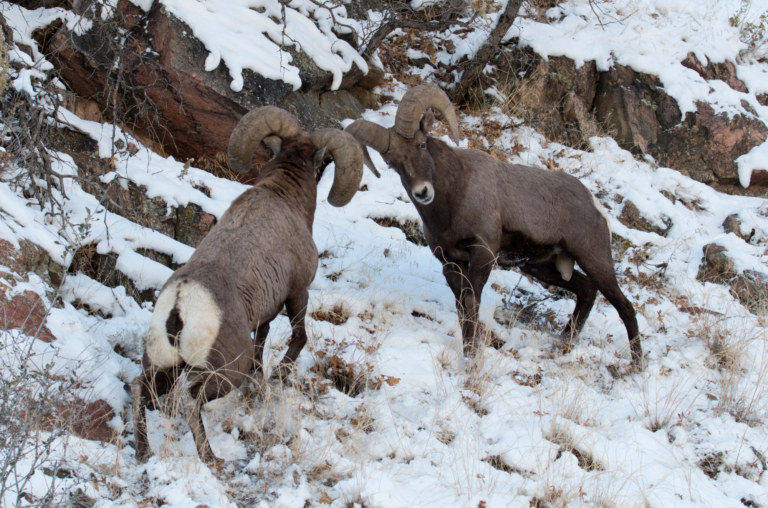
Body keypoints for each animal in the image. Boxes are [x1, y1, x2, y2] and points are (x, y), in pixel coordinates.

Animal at [132, 106, 365, 464]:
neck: (282, 196)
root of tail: (180, 306)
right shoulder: (297, 293)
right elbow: (299, 337)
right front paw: (278, 375)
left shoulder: (266, 312)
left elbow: (263, 340)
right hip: (224, 370)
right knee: (190, 400)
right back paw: (212, 459)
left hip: (162, 365)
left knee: (139, 390)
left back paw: (143, 451)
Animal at [346, 84, 642, 367]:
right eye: (391, 162)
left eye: (421, 145)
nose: (422, 192)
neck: (455, 198)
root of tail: (593, 202)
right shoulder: (450, 262)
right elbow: (462, 308)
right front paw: (468, 354)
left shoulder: (483, 255)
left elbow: (471, 304)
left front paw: (473, 357)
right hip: (540, 267)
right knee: (587, 291)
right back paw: (565, 345)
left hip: (594, 259)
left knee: (625, 306)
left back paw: (637, 365)